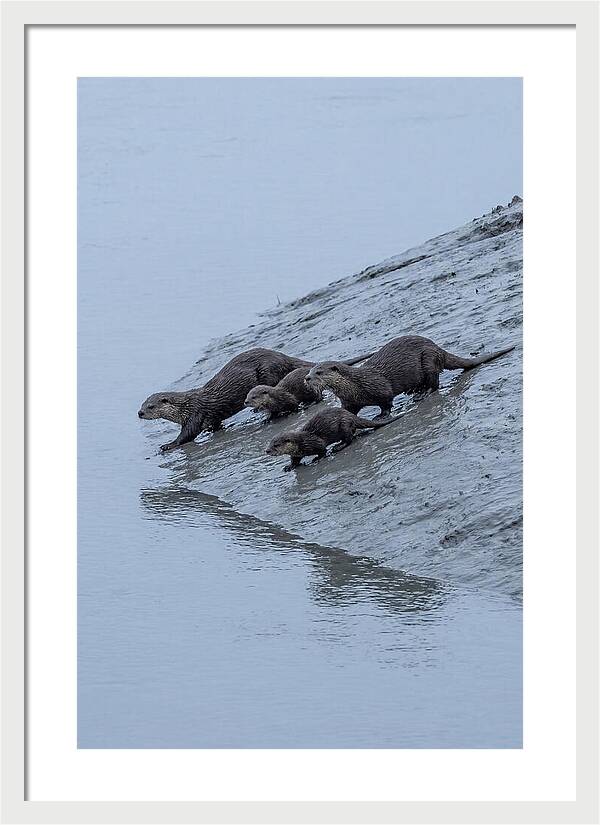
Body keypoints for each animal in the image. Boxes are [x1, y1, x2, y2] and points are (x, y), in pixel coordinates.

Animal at [244, 352, 373, 418]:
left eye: (253, 397)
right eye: (247, 396)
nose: (245, 402)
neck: (275, 398)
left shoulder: (288, 398)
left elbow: (294, 405)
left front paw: (292, 412)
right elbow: (272, 413)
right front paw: (269, 418)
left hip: (313, 389)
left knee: (319, 396)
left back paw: (311, 403)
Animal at [265, 407, 397, 471]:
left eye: (276, 445)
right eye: (270, 443)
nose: (267, 450)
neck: (301, 443)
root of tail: (350, 415)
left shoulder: (315, 442)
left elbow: (322, 450)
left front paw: (317, 459)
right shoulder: (296, 454)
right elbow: (295, 461)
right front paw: (289, 466)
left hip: (344, 425)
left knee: (349, 439)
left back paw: (338, 447)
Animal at [305, 335, 515, 417]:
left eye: (319, 372)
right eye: (309, 371)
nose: (306, 379)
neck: (355, 385)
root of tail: (438, 349)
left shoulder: (380, 387)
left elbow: (386, 401)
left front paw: (381, 416)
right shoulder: (349, 402)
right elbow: (348, 412)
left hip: (428, 359)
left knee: (434, 381)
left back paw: (424, 393)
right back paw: (415, 391)